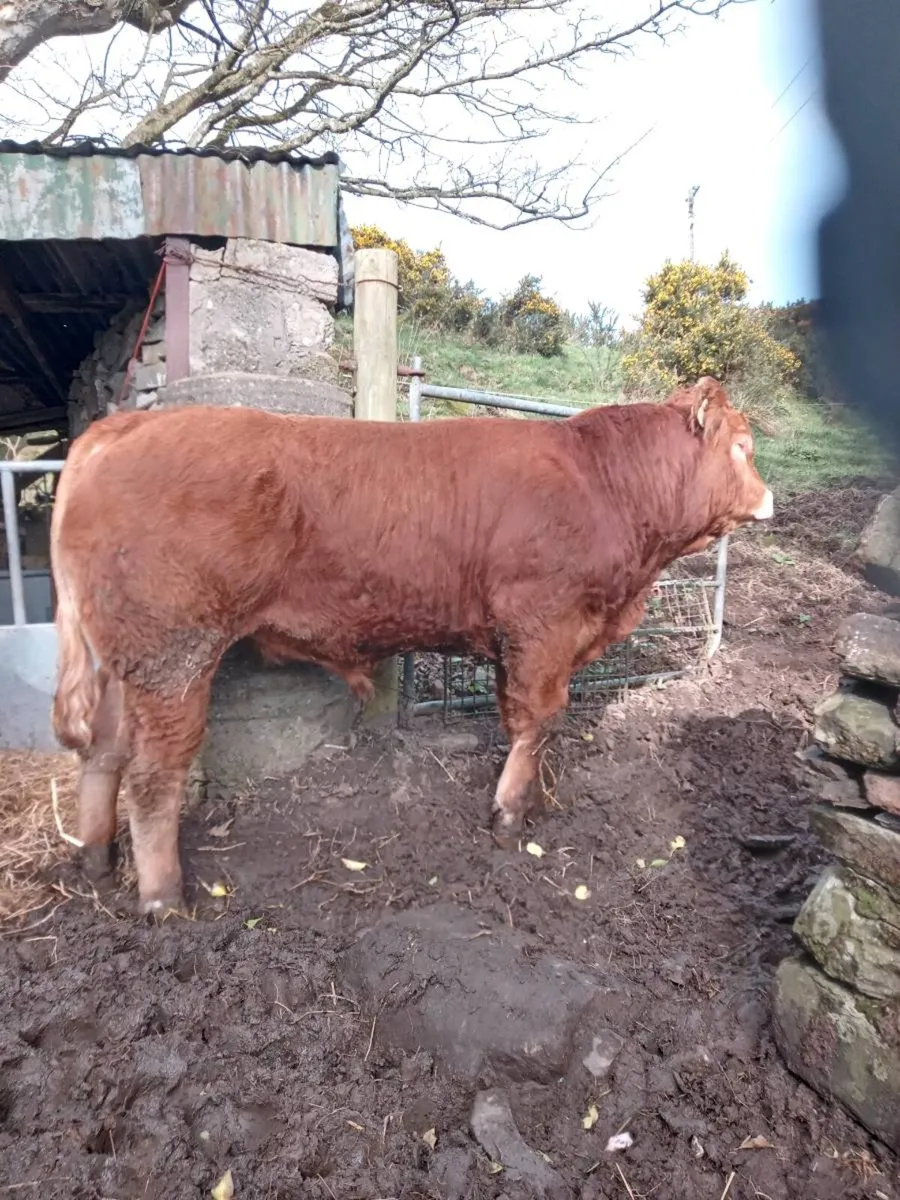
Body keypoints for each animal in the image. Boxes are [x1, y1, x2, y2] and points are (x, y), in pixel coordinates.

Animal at [50, 377, 772, 915]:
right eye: (743, 446)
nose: (769, 499)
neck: (602, 484)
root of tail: (124, 427)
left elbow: (515, 720)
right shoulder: (544, 625)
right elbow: (540, 719)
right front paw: (510, 816)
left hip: (122, 662)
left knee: (104, 753)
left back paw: (97, 861)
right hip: (174, 654)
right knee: (151, 775)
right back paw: (163, 897)